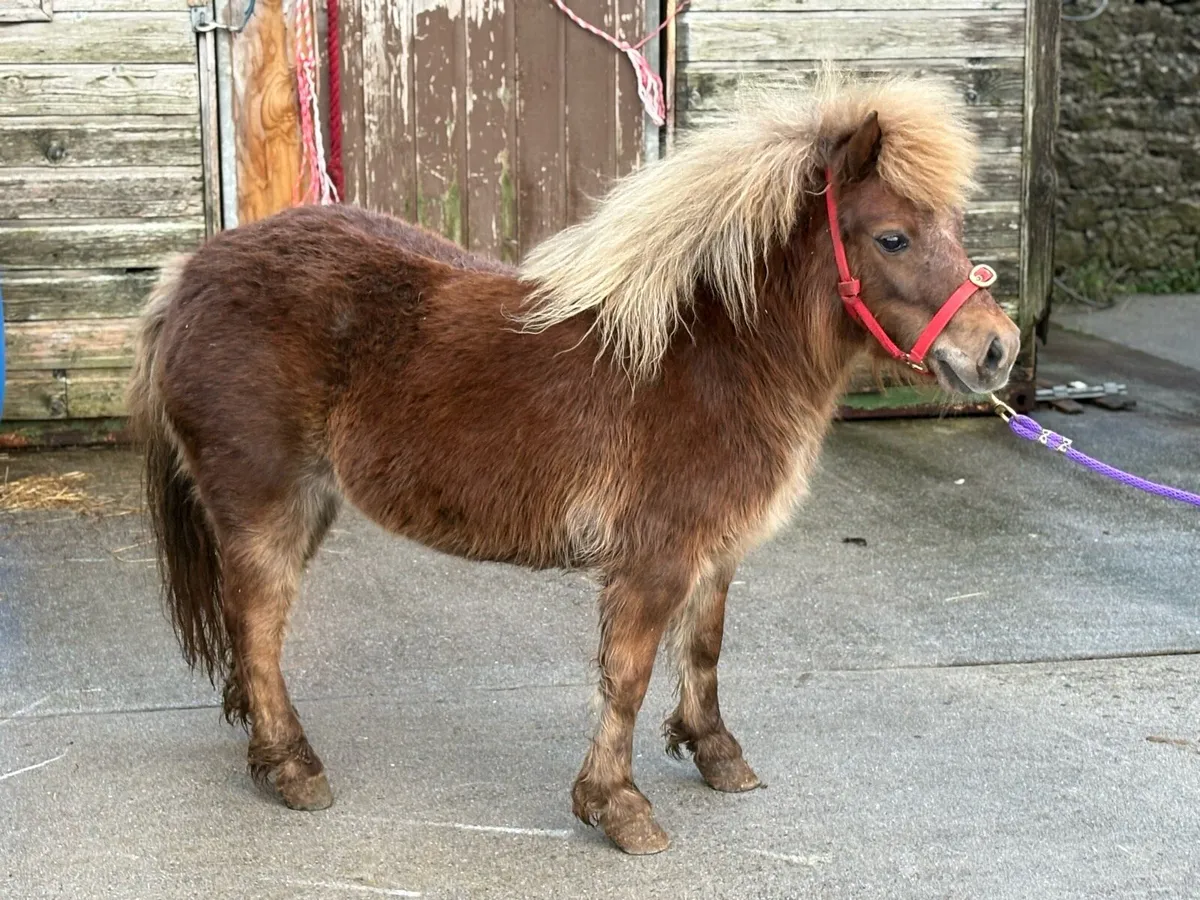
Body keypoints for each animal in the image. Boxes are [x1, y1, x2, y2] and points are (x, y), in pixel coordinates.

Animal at [128, 74, 1019, 855]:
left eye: (955, 227)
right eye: (893, 237)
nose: (996, 349)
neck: (709, 354)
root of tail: (190, 276)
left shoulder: (716, 554)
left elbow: (705, 650)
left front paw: (715, 752)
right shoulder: (654, 560)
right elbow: (627, 676)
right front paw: (617, 807)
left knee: (253, 633)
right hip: (266, 505)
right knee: (258, 622)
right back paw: (292, 766)